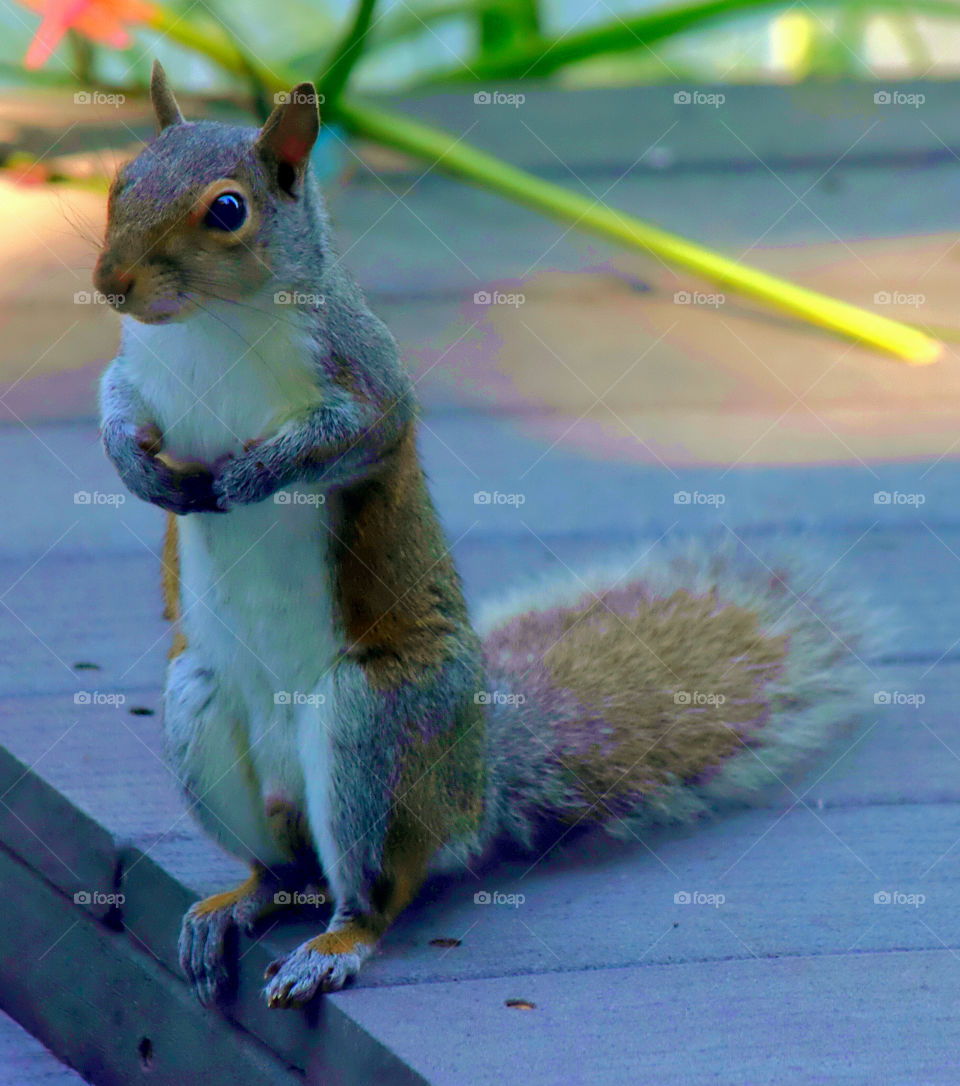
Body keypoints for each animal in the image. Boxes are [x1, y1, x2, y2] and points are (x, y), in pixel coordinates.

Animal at [95, 61, 868, 1007]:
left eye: (228, 209)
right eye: (121, 179)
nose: (111, 282)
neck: (211, 326)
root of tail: (471, 793)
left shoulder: (365, 379)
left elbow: (352, 434)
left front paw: (255, 474)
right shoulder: (139, 368)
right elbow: (117, 402)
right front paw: (134, 467)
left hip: (372, 727)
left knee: (373, 889)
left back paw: (333, 944)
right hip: (200, 707)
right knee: (286, 869)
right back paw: (233, 905)